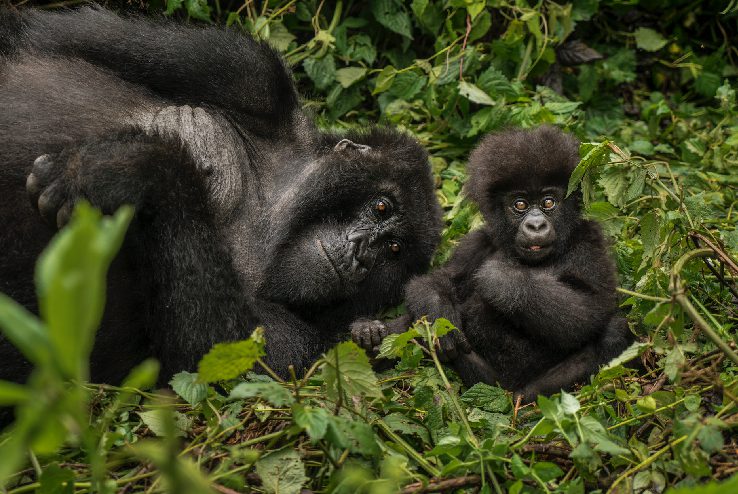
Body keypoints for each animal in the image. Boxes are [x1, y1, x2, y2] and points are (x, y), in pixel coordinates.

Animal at [0, 7, 440, 384]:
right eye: (381, 207)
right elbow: (38, 34)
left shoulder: (308, 346)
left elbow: (212, 359)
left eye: (394, 250)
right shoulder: (251, 73)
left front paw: (136, 168)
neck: (273, 211)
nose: (362, 253)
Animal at [354, 126, 628, 402]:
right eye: (520, 204)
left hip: (520, 389)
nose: (536, 225)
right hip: (482, 379)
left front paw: (502, 280)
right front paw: (439, 314)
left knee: (615, 330)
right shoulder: (479, 240)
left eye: (548, 202)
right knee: (416, 324)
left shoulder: (589, 240)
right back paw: (369, 337)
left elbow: (591, 308)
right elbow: (437, 281)